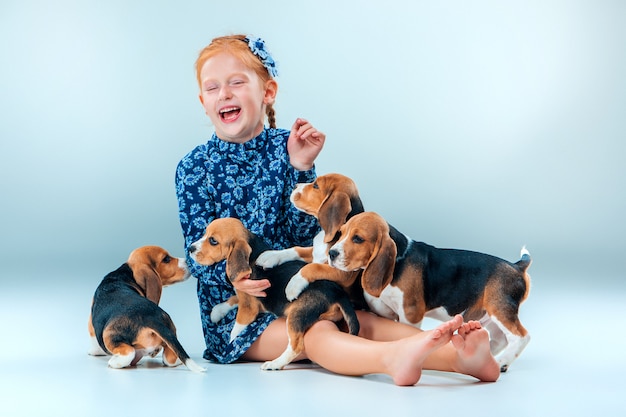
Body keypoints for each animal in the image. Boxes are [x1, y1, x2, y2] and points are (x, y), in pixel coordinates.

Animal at [188, 216, 358, 368]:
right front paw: (217, 311)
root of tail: (338, 292)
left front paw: (231, 344)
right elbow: (234, 298)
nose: (190, 248)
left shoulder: (249, 309)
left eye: (213, 241)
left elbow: (235, 329)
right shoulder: (247, 295)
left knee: (297, 346)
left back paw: (274, 364)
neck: (253, 252)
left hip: (296, 314)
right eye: (204, 233)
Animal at [326, 211, 532, 370]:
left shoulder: (410, 314)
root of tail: (517, 266)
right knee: (500, 339)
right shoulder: (386, 312)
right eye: (341, 233)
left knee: (521, 336)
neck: (399, 259)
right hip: (490, 314)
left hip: (500, 308)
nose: (331, 253)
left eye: (358, 239)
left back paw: (501, 362)